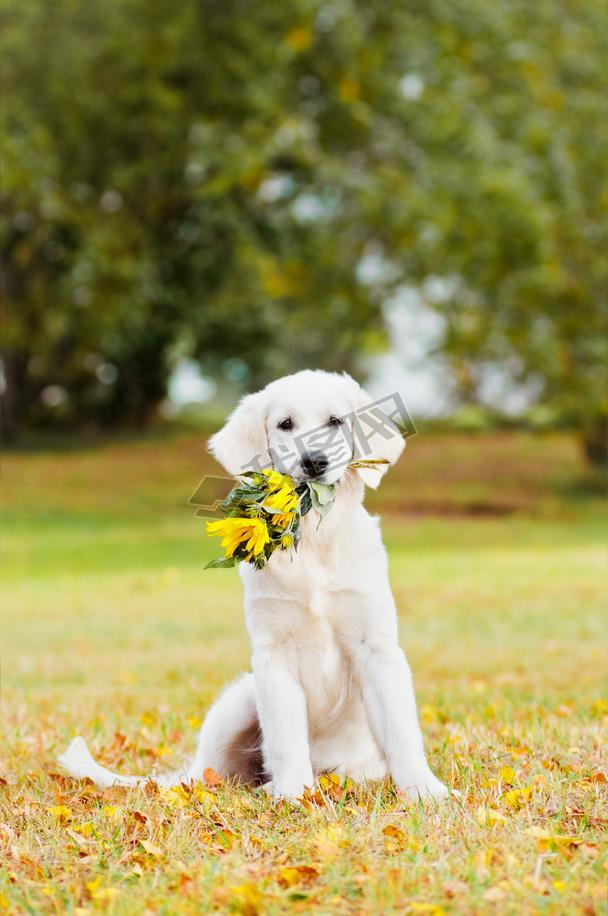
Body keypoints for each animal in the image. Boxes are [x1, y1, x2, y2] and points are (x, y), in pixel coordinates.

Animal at [59, 368, 448, 796]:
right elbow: (286, 737)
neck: (313, 539)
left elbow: (400, 729)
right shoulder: (272, 653)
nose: (314, 461)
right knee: (210, 771)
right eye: (285, 424)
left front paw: (424, 790)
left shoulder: (376, 647)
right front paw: (294, 794)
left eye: (335, 421)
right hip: (240, 700)